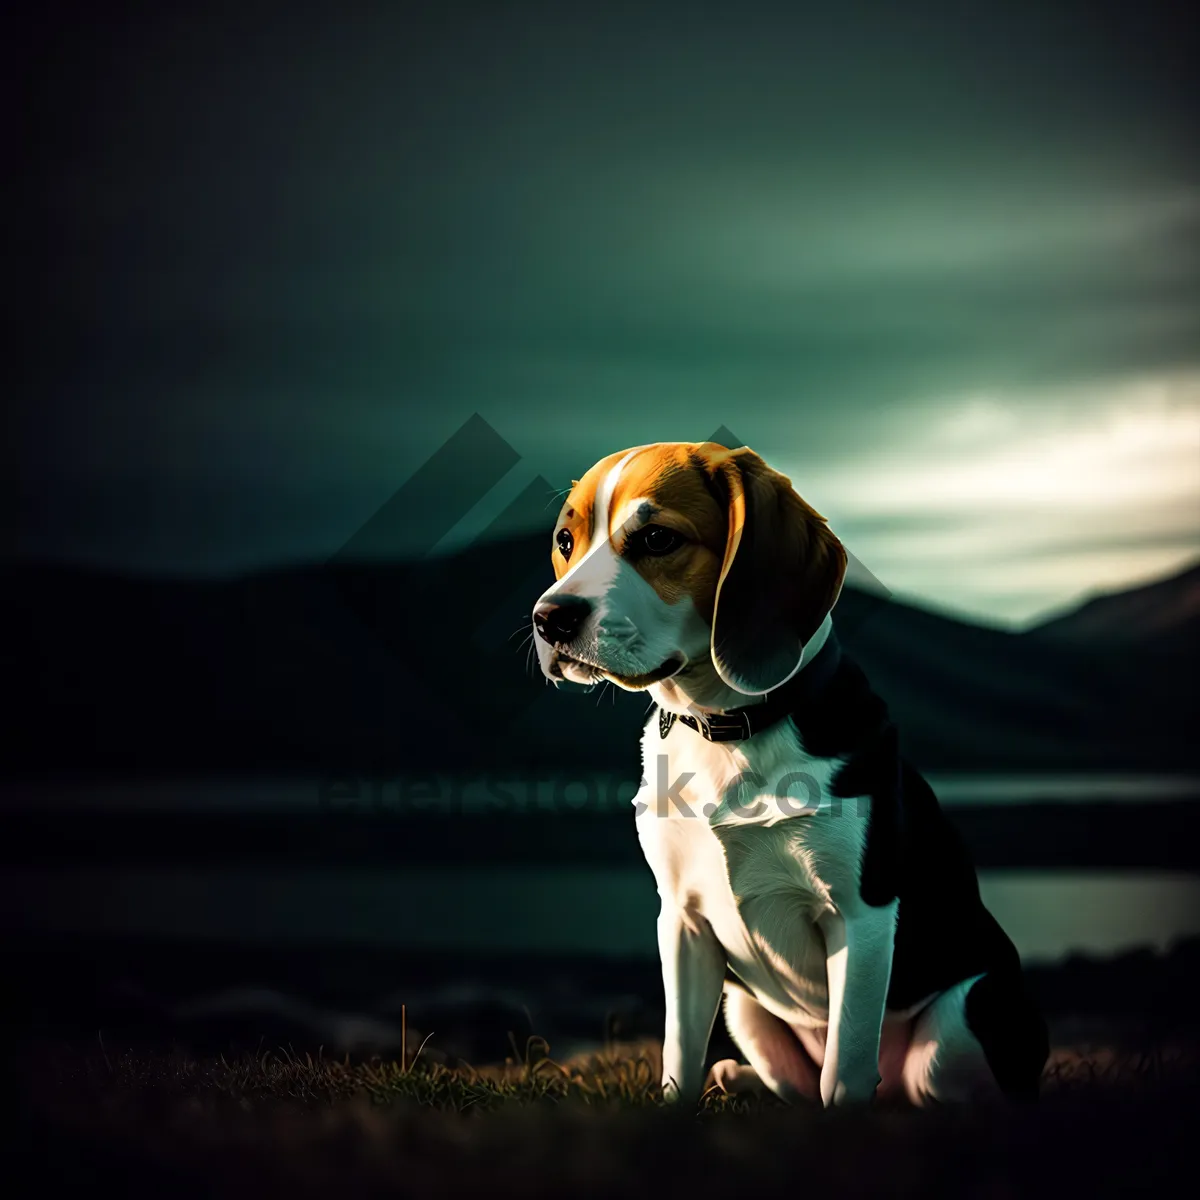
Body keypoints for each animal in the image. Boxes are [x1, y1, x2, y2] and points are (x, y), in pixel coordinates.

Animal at [535, 441, 1051, 1104]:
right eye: (565, 540)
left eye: (656, 539)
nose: (549, 618)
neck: (728, 728)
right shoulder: (681, 920)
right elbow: (679, 1053)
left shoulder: (861, 917)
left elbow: (845, 1070)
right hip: (745, 1007)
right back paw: (736, 1077)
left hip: (959, 1021)